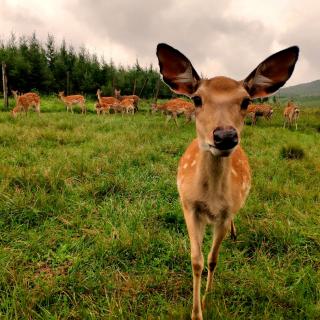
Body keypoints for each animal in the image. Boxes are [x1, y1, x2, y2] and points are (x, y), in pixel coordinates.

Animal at [156, 43, 298, 320]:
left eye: (246, 101)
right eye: (197, 99)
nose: (225, 136)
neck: (210, 200)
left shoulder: (224, 213)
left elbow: (213, 259)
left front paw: (208, 298)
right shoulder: (189, 206)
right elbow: (197, 260)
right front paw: (196, 312)